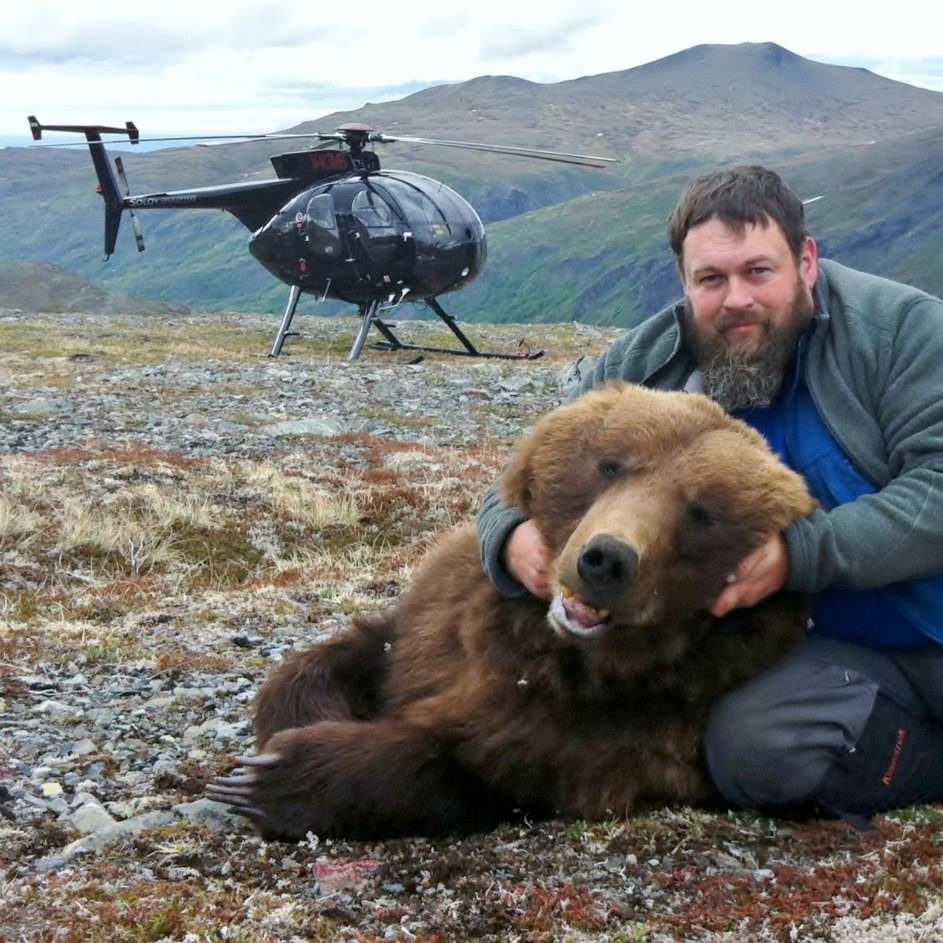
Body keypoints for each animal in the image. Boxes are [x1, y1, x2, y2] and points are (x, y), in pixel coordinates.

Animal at [207, 381, 816, 840]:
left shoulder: (605, 729)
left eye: (702, 512)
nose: (606, 559)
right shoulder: (440, 620)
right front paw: (291, 728)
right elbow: (347, 655)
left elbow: (471, 766)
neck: (549, 644)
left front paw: (276, 780)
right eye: (612, 464)